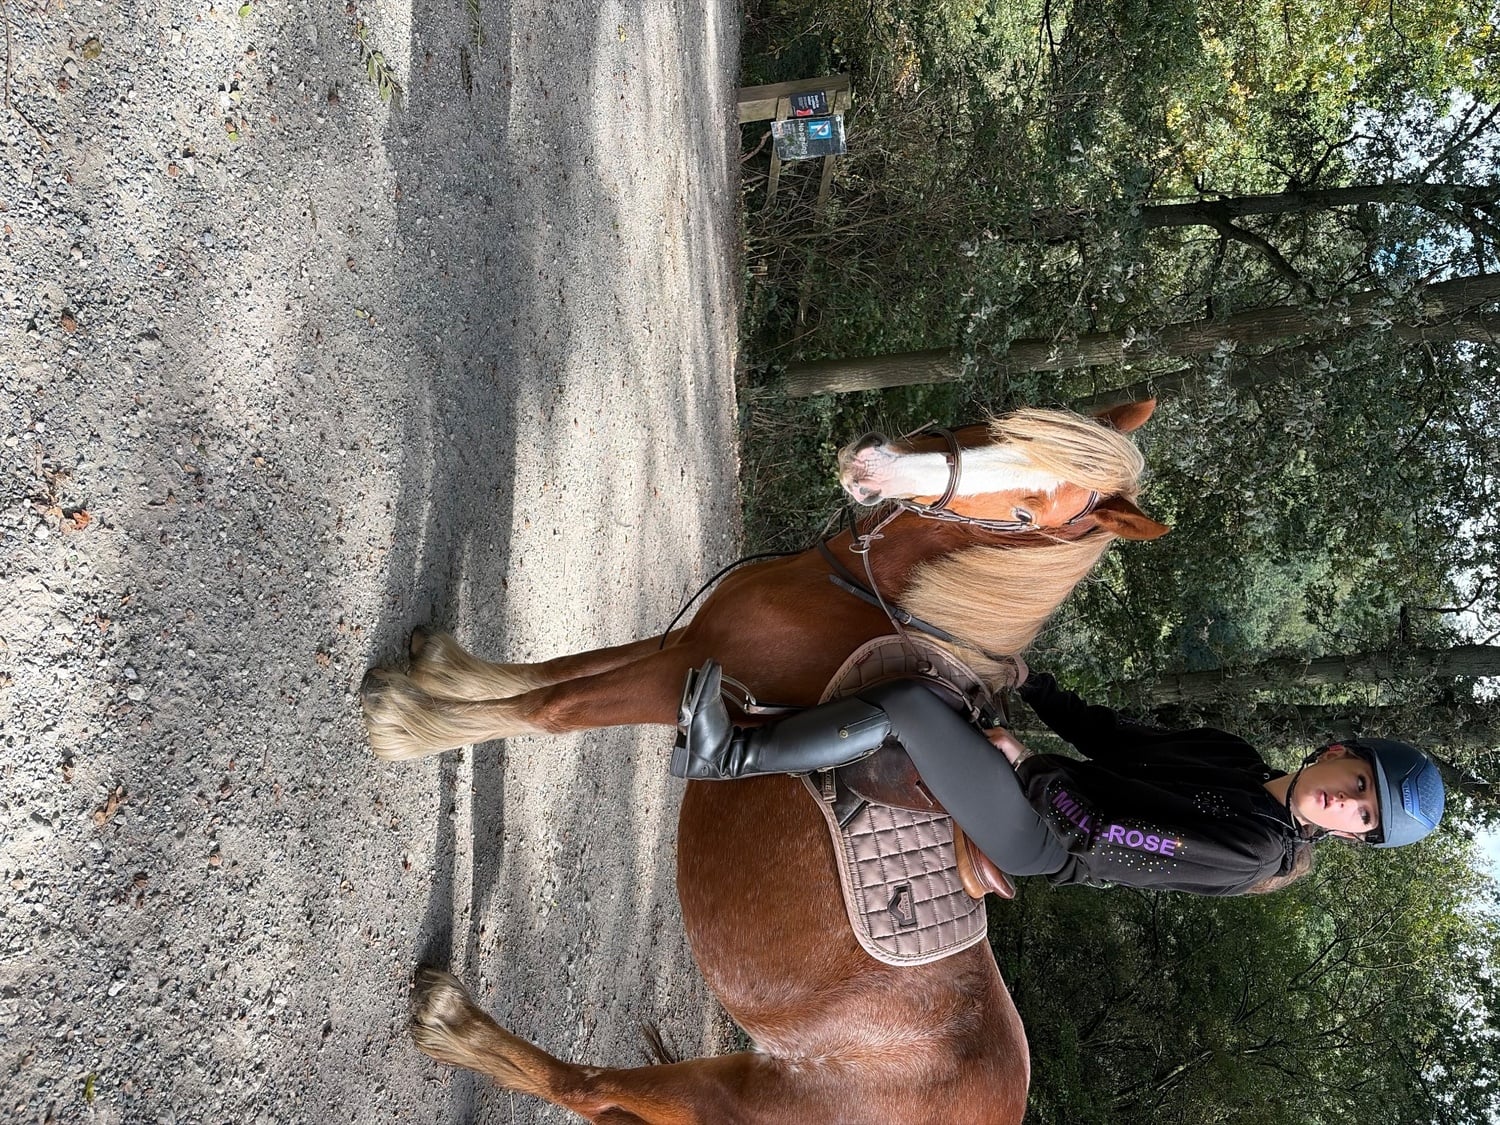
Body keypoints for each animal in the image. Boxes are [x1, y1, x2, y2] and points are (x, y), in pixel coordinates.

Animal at [362, 402, 1167, 1124]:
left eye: (1032, 513)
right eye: (1000, 424)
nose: (870, 464)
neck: (861, 596)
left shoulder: (678, 675)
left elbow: (552, 706)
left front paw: (407, 725)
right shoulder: (689, 645)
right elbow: (557, 670)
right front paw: (443, 673)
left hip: (730, 1095)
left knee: (589, 1087)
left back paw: (451, 1023)